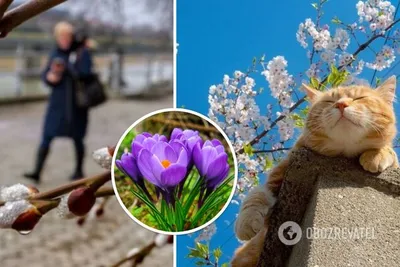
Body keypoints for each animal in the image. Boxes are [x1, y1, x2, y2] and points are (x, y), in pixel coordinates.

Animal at [233, 76, 398, 266]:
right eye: (329, 101)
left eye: (359, 98)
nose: (341, 104)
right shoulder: (278, 178)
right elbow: (256, 195)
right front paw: (246, 221)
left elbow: (389, 153)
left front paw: (377, 155)